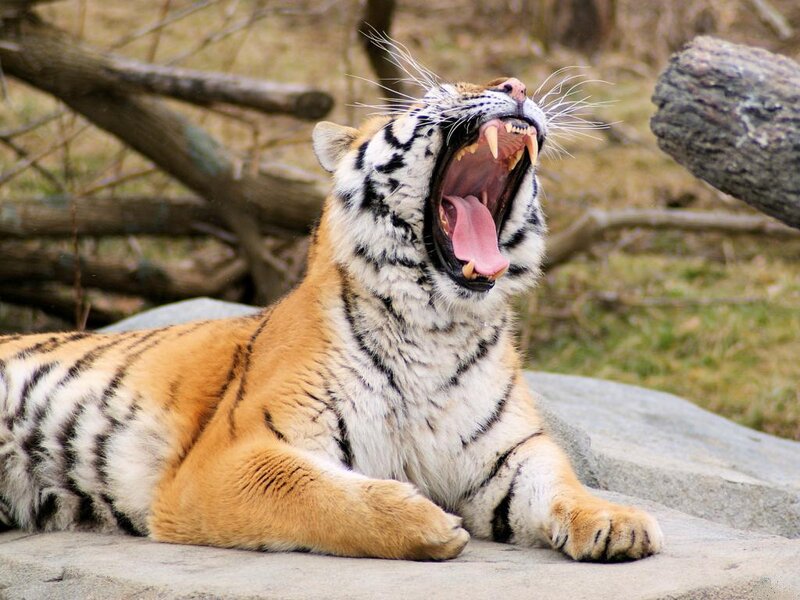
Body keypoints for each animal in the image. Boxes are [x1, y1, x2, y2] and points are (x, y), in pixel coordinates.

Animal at [0, 73, 663, 562]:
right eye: (438, 92)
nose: (518, 84)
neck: (438, 326)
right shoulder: (228, 458)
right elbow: (317, 493)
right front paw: (428, 522)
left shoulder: (508, 454)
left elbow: (562, 483)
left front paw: (619, 522)